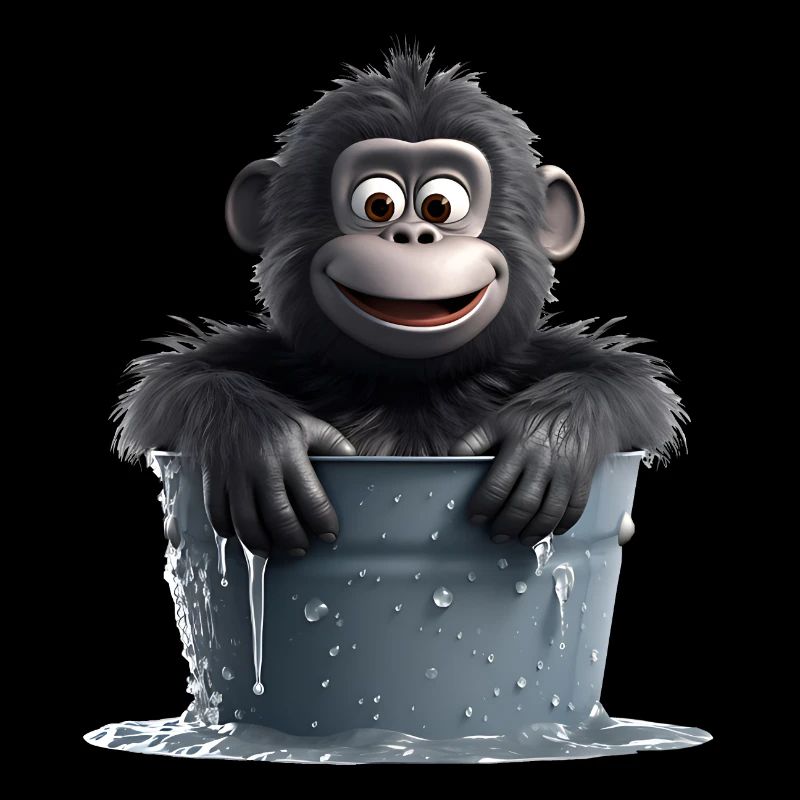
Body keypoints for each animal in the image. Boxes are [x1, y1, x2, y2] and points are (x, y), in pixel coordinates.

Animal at [113, 46, 686, 560]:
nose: (412, 235)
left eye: (441, 204)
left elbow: (628, 385)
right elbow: (172, 385)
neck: (409, 389)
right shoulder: (274, 357)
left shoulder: (529, 358)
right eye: (377, 204)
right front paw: (261, 442)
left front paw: (547, 437)